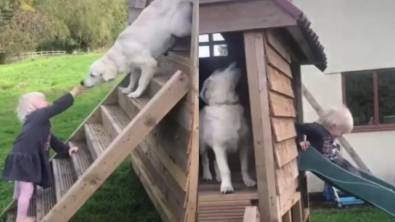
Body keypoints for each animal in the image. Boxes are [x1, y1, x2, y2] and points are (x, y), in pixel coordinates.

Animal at [201, 62, 256, 194]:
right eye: (221, 69)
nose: (236, 62)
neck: (227, 104)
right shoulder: (219, 147)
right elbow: (225, 169)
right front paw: (226, 186)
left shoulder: (244, 145)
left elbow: (244, 167)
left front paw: (248, 181)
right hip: (202, 146)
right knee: (205, 160)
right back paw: (207, 175)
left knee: (214, 161)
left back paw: (218, 177)